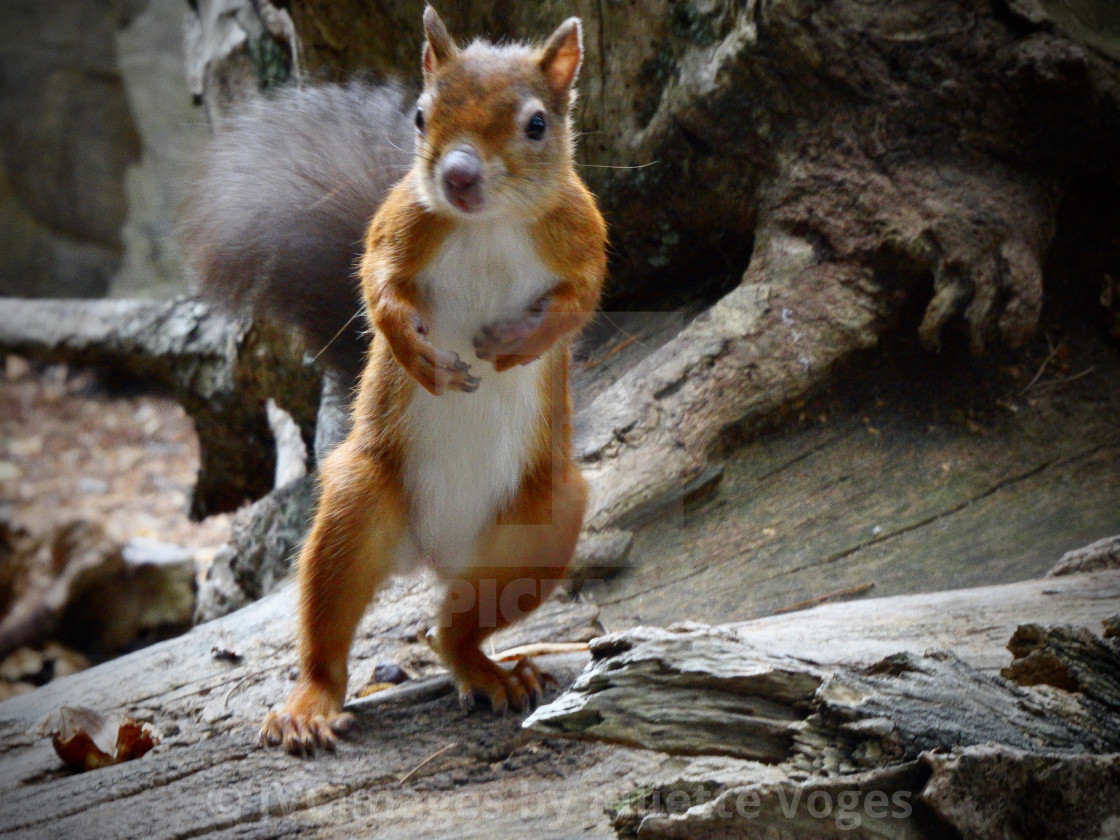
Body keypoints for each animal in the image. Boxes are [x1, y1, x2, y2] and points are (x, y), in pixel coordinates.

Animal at [179, 6, 609, 757]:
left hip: (538, 528)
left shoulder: (582, 232)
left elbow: (582, 299)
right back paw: (311, 704)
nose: (459, 175)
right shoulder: (401, 223)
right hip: (357, 506)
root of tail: (438, 553)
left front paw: (514, 344)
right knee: (330, 631)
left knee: (456, 628)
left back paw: (491, 672)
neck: (486, 224)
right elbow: (376, 287)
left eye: (536, 124)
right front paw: (418, 354)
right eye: (420, 114)